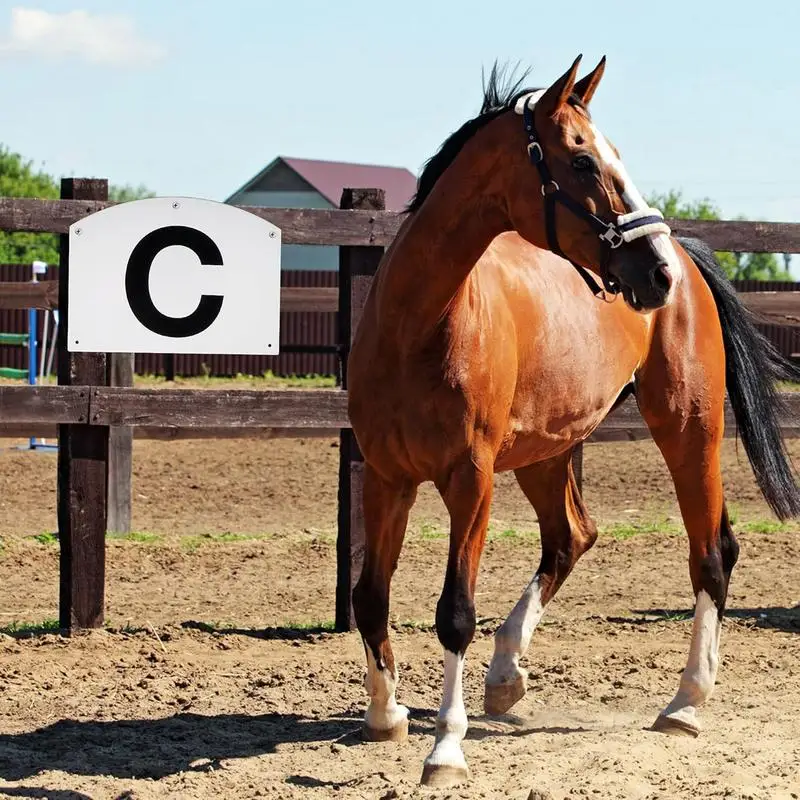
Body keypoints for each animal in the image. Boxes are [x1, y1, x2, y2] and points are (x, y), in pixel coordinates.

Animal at [346, 56, 796, 788]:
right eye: (583, 161)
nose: (654, 272)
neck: (421, 325)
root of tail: (691, 260)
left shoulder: (470, 480)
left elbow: (454, 614)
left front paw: (445, 748)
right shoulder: (386, 477)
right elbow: (370, 596)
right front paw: (387, 716)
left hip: (687, 429)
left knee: (710, 553)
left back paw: (686, 703)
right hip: (547, 451)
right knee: (571, 537)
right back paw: (506, 675)